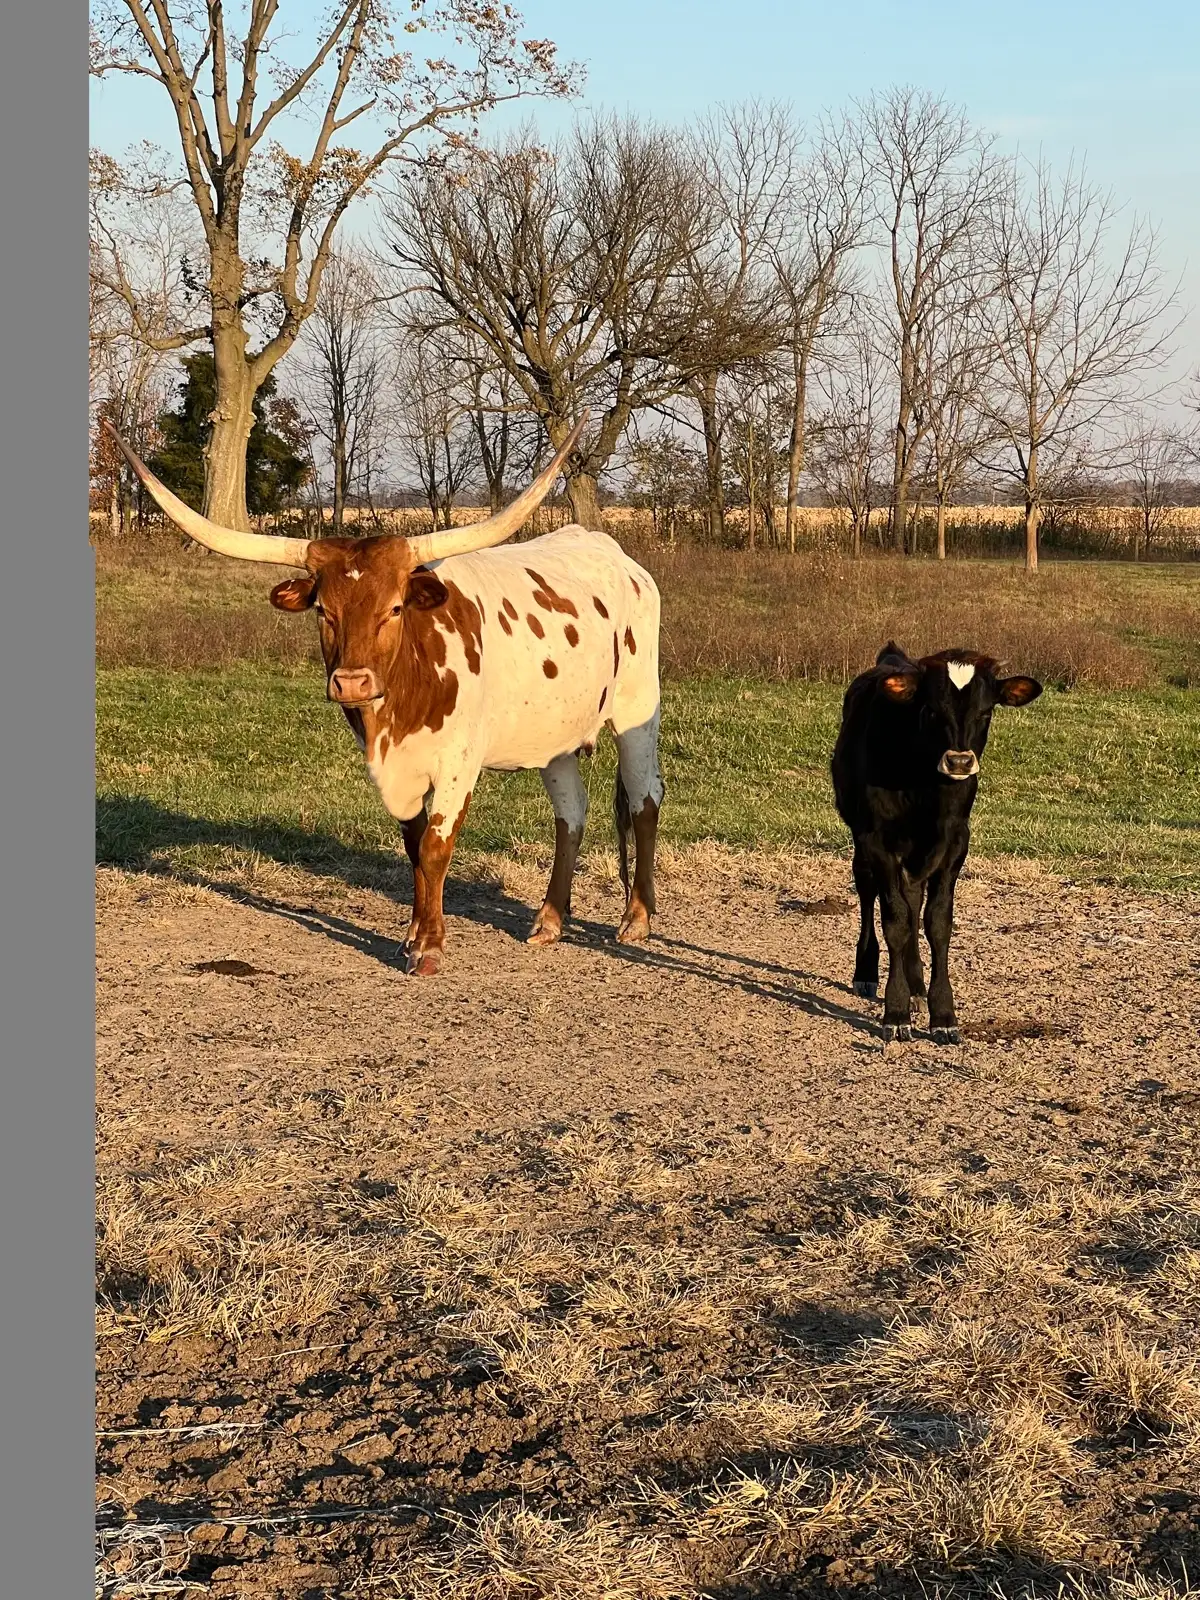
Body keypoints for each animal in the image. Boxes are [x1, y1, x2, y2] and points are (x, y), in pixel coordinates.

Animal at [105, 417, 665, 976]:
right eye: (323, 610)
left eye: (395, 608)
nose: (351, 682)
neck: (399, 712)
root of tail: (614, 553)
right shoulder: (395, 771)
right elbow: (414, 848)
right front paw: (412, 936)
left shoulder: (458, 762)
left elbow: (436, 847)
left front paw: (431, 947)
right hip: (552, 735)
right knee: (571, 812)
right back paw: (549, 919)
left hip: (637, 709)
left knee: (645, 799)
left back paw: (636, 918)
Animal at [831, 642, 1042, 1044]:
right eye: (930, 709)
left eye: (986, 711)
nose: (959, 761)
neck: (924, 788)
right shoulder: (878, 841)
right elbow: (895, 920)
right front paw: (896, 1011)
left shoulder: (955, 843)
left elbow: (937, 922)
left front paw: (942, 1012)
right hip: (862, 841)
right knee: (869, 892)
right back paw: (867, 972)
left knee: (913, 899)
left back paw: (916, 985)